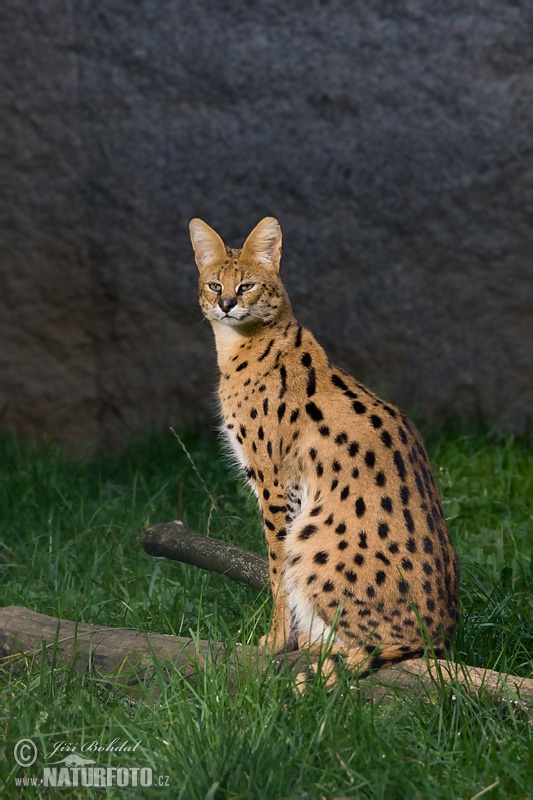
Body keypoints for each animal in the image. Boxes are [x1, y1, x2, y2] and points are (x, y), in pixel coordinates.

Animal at [189, 217, 460, 680]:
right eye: (213, 284)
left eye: (246, 286)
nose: (225, 303)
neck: (237, 345)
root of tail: (438, 633)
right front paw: (291, 640)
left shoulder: (275, 485)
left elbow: (277, 568)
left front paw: (277, 642)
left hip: (314, 535)